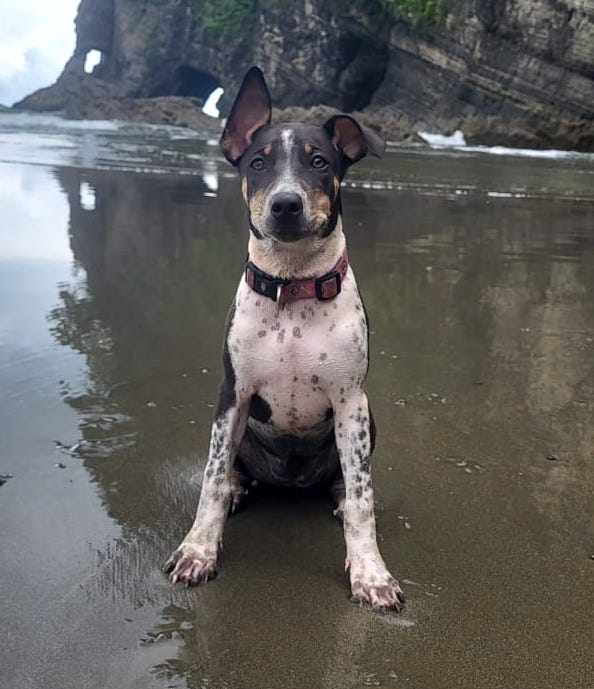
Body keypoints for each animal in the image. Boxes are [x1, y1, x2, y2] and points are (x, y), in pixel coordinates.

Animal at [164, 67, 404, 612]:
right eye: (258, 162)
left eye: (319, 162)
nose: (286, 204)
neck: (293, 285)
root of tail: (288, 481)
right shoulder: (232, 394)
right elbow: (210, 480)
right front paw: (198, 550)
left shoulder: (350, 401)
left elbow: (364, 497)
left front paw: (371, 573)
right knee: (231, 471)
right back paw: (238, 487)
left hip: (367, 416)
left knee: (346, 481)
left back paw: (336, 495)